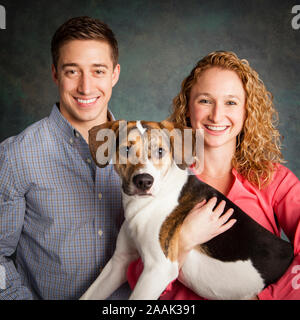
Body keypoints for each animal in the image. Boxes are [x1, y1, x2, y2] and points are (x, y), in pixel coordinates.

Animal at [79, 119, 292, 300]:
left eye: (160, 151)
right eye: (126, 149)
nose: (144, 181)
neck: (145, 204)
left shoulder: (158, 269)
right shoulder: (119, 262)